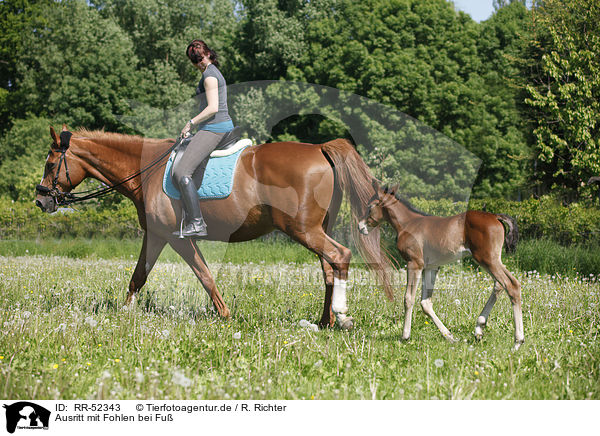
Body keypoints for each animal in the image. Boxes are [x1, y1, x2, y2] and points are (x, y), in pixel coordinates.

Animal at [358, 186, 524, 350]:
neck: (408, 224)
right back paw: (479, 328)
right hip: (493, 260)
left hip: (487, 259)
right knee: (499, 285)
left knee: (511, 285)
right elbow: (425, 303)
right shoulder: (431, 267)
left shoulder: (414, 264)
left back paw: (518, 341)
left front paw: (405, 336)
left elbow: (408, 298)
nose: (360, 226)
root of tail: (495, 216)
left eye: (370, 206)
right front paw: (450, 336)